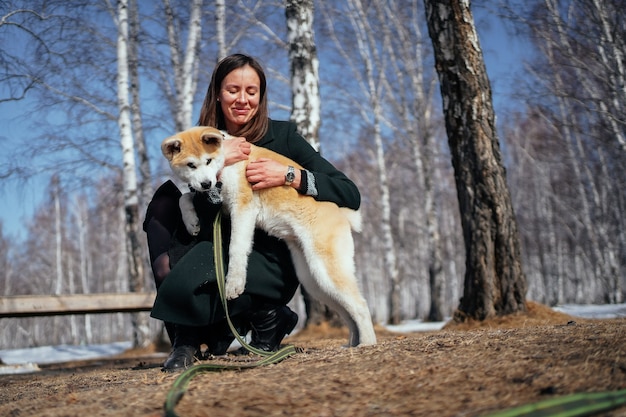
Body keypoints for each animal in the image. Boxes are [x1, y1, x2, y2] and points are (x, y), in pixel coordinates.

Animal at [161, 125, 376, 346]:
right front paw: (191, 222)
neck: (227, 164)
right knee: (347, 311)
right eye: (191, 165)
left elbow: (236, 248)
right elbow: (185, 198)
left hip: (327, 270)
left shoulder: (243, 208)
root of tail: (343, 214)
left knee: (360, 305)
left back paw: (367, 343)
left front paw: (234, 283)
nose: (206, 183)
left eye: (208, 161)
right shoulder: (223, 204)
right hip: (314, 280)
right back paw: (352, 344)